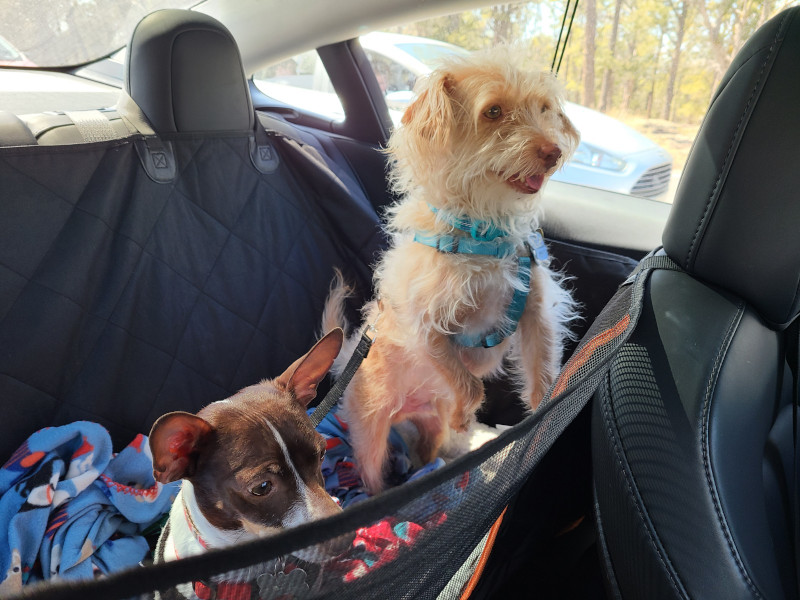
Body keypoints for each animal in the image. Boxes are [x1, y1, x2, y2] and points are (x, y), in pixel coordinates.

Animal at [322, 45, 580, 492]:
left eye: (544, 109)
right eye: (493, 111)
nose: (553, 152)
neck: (484, 233)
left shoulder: (534, 314)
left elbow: (541, 373)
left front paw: (539, 423)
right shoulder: (426, 326)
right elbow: (469, 383)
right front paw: (466, 414)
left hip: (429, 428)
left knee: (426, 452)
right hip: (370, 432)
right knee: (371, 472)